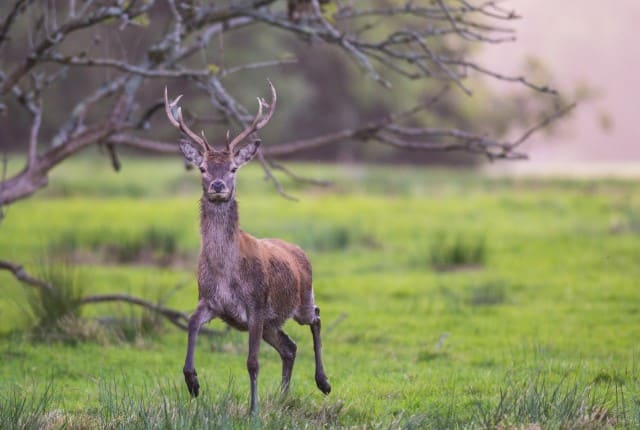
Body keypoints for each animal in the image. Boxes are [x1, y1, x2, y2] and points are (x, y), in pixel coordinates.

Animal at [162, 80, 332, 414]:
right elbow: (190, 323)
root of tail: (299, 251)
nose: (218, 186)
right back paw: (282, 396)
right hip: (271, 323)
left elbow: (252, 362)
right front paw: (193, 383)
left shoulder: (256, 304)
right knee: (289, 346)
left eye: (233, 169)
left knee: (316, 317)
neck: (227, 272)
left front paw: (253, 411)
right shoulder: (210, 301)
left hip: (300, 299)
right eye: (202, 168)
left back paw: (323, 382)